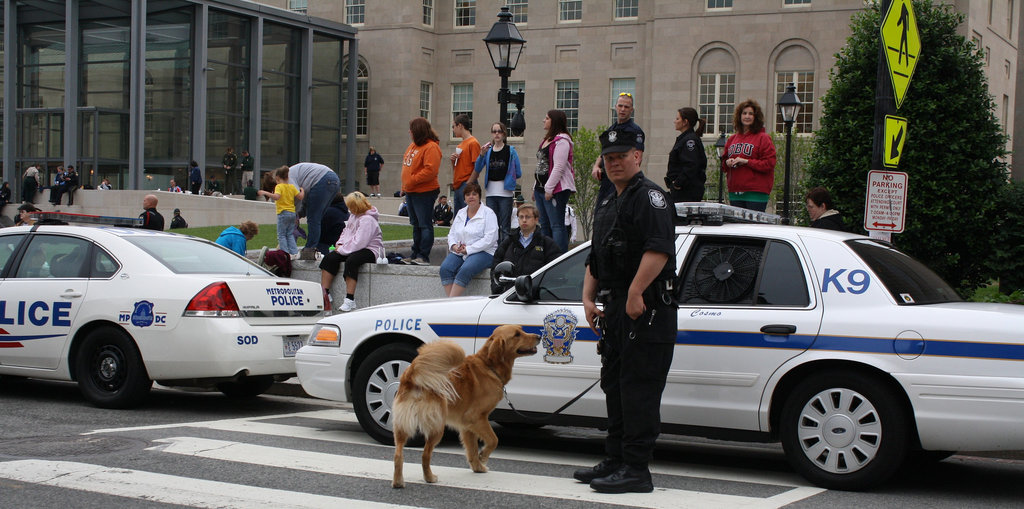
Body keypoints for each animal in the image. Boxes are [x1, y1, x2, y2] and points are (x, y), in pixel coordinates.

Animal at [389, 325, 540, 487]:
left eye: (522, 329)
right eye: (517, 334)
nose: (539, 336)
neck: (489, 365)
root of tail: (414, 375)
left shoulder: (467, 425)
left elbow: (472, 449)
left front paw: (478, 467)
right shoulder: (476, 418)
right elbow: (493, 440)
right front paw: (483, 457)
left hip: (402, 426)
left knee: (398, 455)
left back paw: (398, 482)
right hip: (437, 427)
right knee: (425, 455)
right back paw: (429, 478)